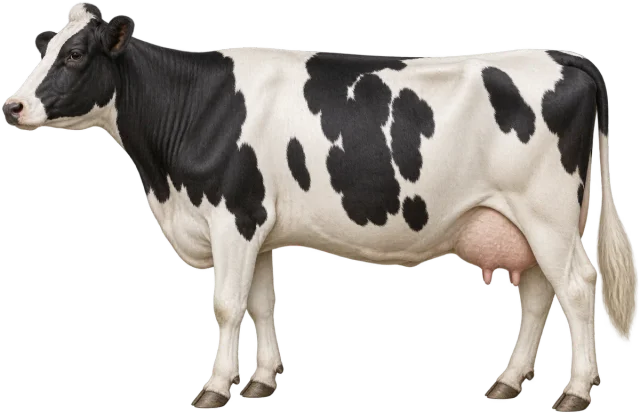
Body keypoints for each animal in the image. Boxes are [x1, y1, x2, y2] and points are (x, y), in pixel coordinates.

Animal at [2, 2, 637, 412]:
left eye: (75, 54)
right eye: (45, 46)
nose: (12, 105)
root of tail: (564, 56)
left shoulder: (233, 217)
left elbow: (227, 307)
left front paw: (214, 388)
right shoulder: (259, 229)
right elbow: (262, 306)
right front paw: (259, 381)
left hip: (548, 214)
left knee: (576, 287)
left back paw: (575, 392)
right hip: (528, 222)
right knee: (536, 295)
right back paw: (508, 381)